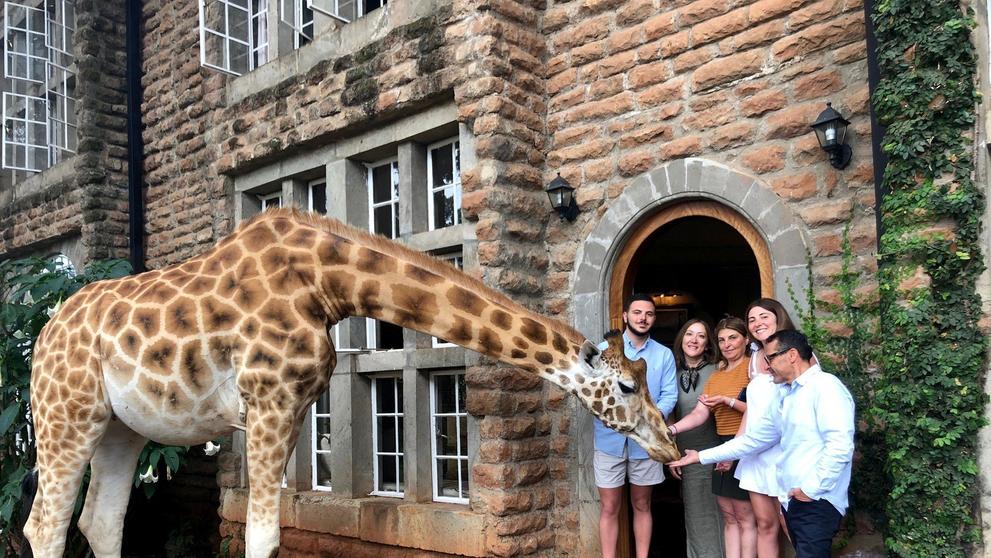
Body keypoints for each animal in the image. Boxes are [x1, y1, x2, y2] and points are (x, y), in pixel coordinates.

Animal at [24, 208, 680, 558]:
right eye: (627, 387)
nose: (670, 447)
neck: (327, 284)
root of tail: (44, 331)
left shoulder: (291, 410)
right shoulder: (267, 403)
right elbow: (263, 536)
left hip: (120, 428)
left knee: (99, 520)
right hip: (66, 415)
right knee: (43, 524)